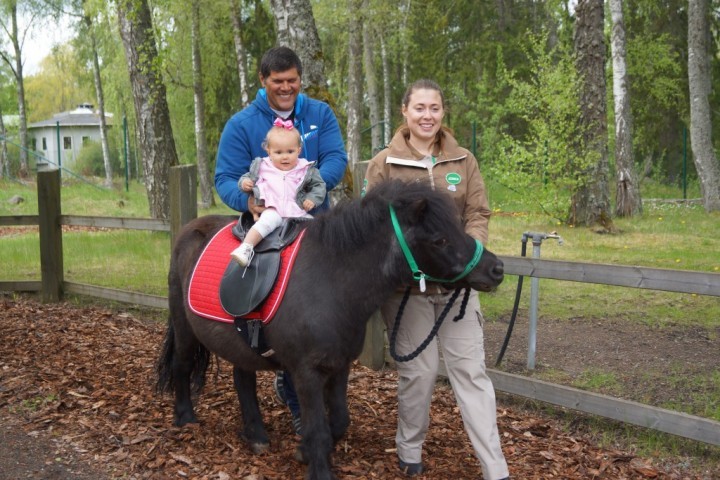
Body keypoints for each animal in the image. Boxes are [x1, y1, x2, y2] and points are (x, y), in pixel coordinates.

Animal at [158, 179, 506, 480]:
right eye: (439, 240)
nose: (497, 269)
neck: (332, 280)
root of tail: (190, 229)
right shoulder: (306, 374)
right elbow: (318, 429)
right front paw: (318, 467)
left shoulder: (339, 367)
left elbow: (338, 422)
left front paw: (303, 452)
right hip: (185, 329)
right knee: (182, 365)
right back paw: (185, 418)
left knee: (242, 378)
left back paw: (255, 434)